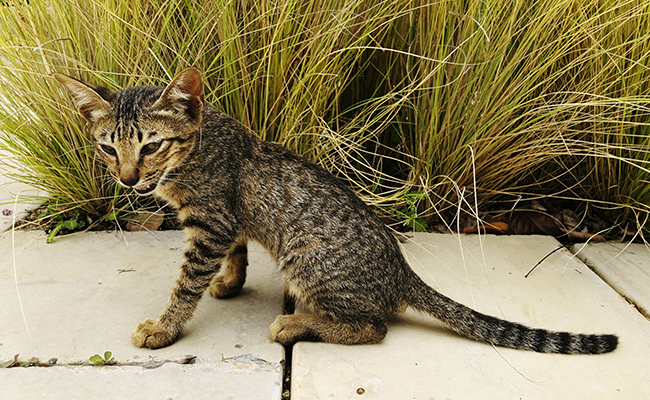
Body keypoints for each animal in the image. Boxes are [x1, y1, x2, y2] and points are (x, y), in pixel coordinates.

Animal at [53, 68, 616, 354]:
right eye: (108, 148)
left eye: (151, 146)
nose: (128, 179)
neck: (198, 147)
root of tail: (401, 272)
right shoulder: (228, 222)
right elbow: (237, 251)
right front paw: (230, 282)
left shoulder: (210, 221)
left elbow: (185, 285)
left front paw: (165, 327)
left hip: (306, 258)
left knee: (373, 328)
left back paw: (297, 325)